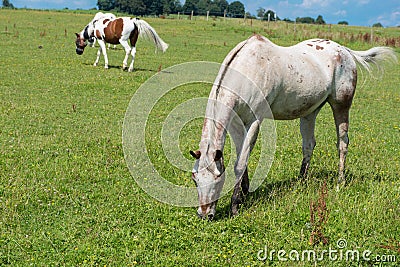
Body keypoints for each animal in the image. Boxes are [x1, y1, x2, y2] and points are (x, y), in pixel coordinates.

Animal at [191, 34, 396, 221]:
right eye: (195, 179)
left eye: (218, 177)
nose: (204, 214)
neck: (248, 68)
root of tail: (344, 50)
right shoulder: (235, 123)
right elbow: (242, 159)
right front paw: (244, 193)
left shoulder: (255, 121)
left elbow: (240, 164)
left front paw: (235, 205)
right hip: (310, 111)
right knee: (309, 144)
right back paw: (302, 181)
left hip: (341, 105)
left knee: (342, 143)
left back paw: (340, 181)